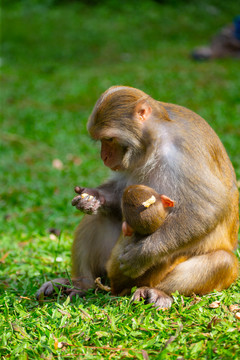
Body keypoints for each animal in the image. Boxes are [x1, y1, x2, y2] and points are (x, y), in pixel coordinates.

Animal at [36, 86, 239, 308]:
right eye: (101, 140)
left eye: (109, 139)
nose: (104, 157)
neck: (155, 141)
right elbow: (119, 192)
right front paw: (93, 198)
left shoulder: (183, 151)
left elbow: (208, 207)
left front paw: (143, 254)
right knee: (97, 219)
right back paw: (81, 285)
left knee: (221, 261)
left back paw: (158, 291)